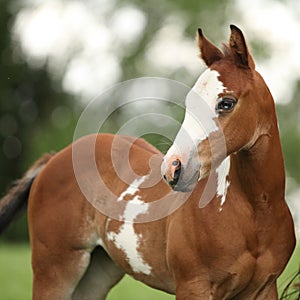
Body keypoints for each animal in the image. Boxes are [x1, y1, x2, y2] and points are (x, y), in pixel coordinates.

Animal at [0, 25, 296, 300]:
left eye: (226, 103)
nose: (172, 168)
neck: (255, 210)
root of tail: (53, 159)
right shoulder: (194, 286)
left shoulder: (264, 289)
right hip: (55, 270)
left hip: (97, 273)